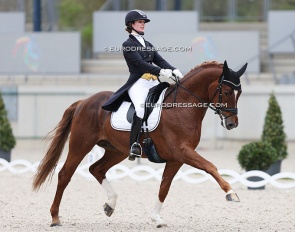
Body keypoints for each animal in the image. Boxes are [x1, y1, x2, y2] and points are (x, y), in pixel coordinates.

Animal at [33, 60, 247, 227]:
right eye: (227, 91)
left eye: (239, 93)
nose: (232, 124)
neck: (182, 106)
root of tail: (84, 102)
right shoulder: (183, 151)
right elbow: (211, 167)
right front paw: (231, 193)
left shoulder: (176, 159)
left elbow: (164, 187)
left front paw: (156, 218)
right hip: (81, 145)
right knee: (65, 175)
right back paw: (55, 218)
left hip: (116, 151)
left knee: (96, 169)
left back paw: (110, 205)